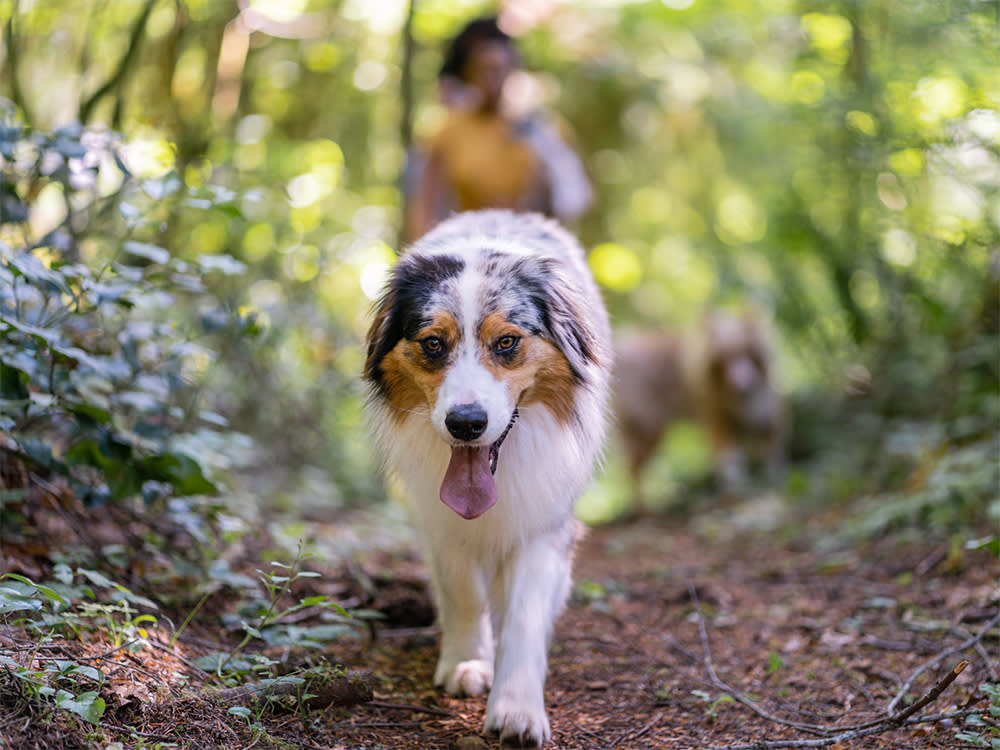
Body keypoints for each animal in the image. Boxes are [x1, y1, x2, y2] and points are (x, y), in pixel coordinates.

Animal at [362, 210, 608, 748]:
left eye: (507, 342)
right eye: (433, 343)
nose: (466, 423)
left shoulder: (544, 521)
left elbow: (524, 615)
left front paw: (517, 709)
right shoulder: (440, 523)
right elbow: (463, 591)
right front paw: (468, 662)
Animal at [612, 308, 784, 502]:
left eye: (747, 352)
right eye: (724, 359)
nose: (740, 384)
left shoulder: (766, 412)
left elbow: (771, 448)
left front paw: (771, 476)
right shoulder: (716, 417)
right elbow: (730, 458)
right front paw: (736, 486)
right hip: (646, 430)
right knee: (632, 470)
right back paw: (643, 504)